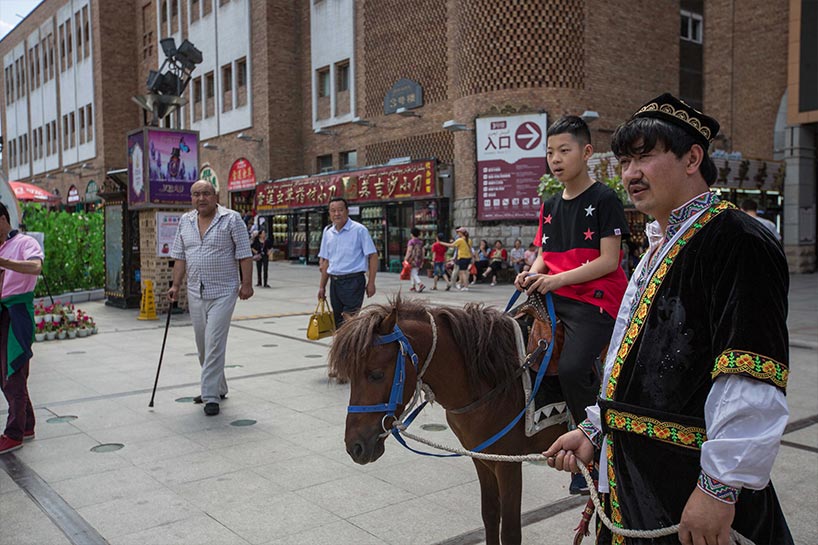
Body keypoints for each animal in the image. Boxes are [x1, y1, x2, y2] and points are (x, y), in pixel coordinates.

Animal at [329, 296, 569, 545]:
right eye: (350, 375)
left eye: (376, 374)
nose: (355, 447)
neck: (496, 381)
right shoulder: (482, 457)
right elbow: (490, 514)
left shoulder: (508, 463)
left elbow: (511, 531)